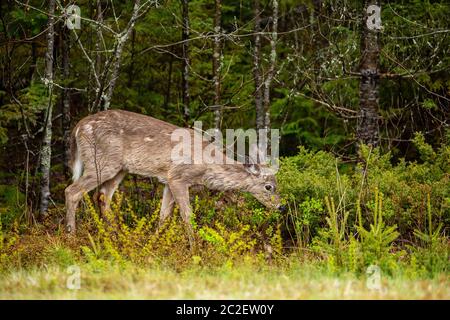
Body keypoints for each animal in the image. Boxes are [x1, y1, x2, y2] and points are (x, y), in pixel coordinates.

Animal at [65, 109, 286, 246]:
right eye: (268, 187)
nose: (281, 206)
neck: (206, 166)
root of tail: (78, 127)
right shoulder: (178, 177)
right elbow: (187, 216)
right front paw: (195, 249)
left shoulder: (167, 180)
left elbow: (164, 216)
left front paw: (152, 244)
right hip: (102, 162)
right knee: (72, 191)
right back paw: (71, 237)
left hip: (119, 169)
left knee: (103, 196)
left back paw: (115, 238)